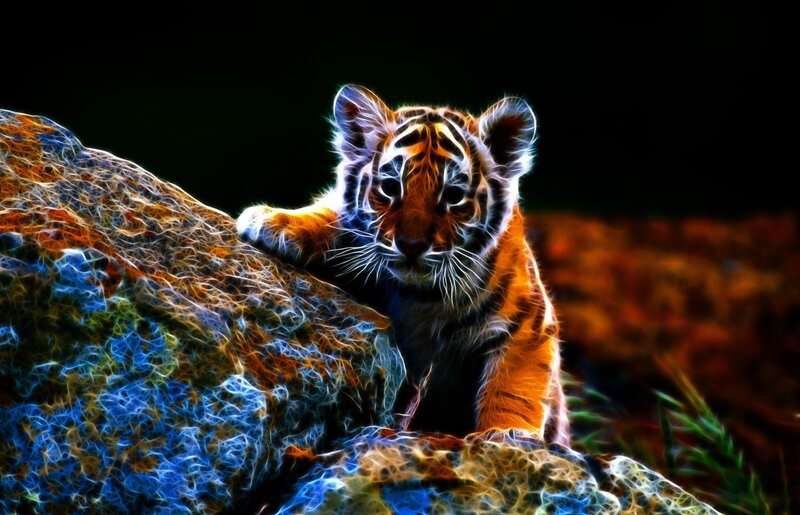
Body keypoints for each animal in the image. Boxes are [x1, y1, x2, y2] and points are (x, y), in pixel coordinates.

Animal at [237, 85, 568, 445]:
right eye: (390, 187)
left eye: (453, 195)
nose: (411, 246)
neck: (420, 297)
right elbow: (331, 214)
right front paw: (273, 221)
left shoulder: (528, 326)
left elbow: (512, 389)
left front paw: (506, 434)